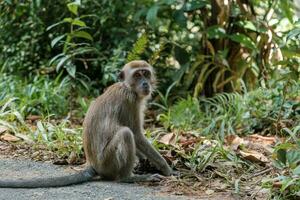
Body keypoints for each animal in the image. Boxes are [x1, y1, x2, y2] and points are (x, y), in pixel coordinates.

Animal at [0, 59, 172, 188]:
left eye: (146, 73)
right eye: (137, 75)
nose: (145, 83)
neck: (127, 87)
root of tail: (92, 164)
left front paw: (145, 160)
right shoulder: (130, 100)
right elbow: (136, 134)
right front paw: (167, 168)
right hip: (107, 162)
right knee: (126, 134)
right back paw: (127, 177)